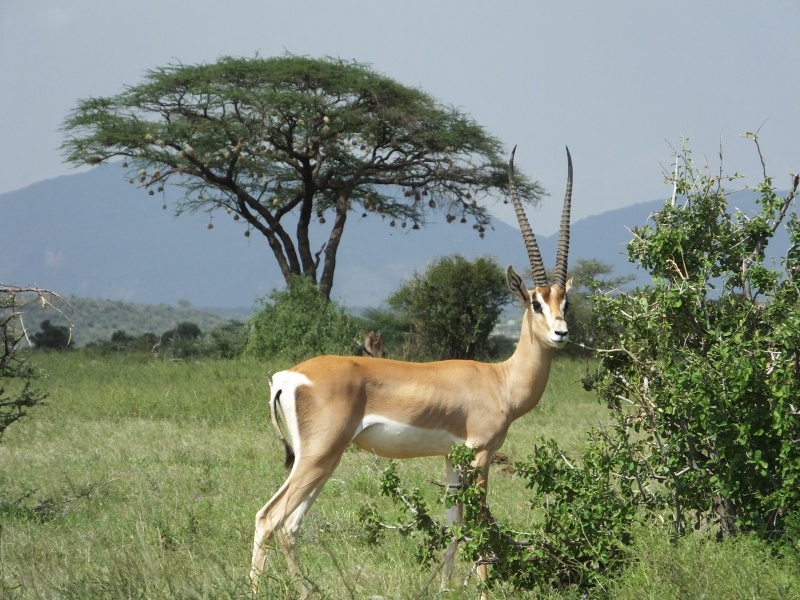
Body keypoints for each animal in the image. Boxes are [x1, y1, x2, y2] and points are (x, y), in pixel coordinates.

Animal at [250, 148, 574, 597]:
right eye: (535, 302)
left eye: (565, 301)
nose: (562, 333)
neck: (500, 381)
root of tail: (287, 376)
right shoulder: (480, 455)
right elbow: (478, 520)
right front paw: (483, 588)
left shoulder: (452, 459)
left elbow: (454, 524)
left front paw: (443, 587)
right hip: (317, 457)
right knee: (270, 517)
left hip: (322, 461)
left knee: (290, 523)